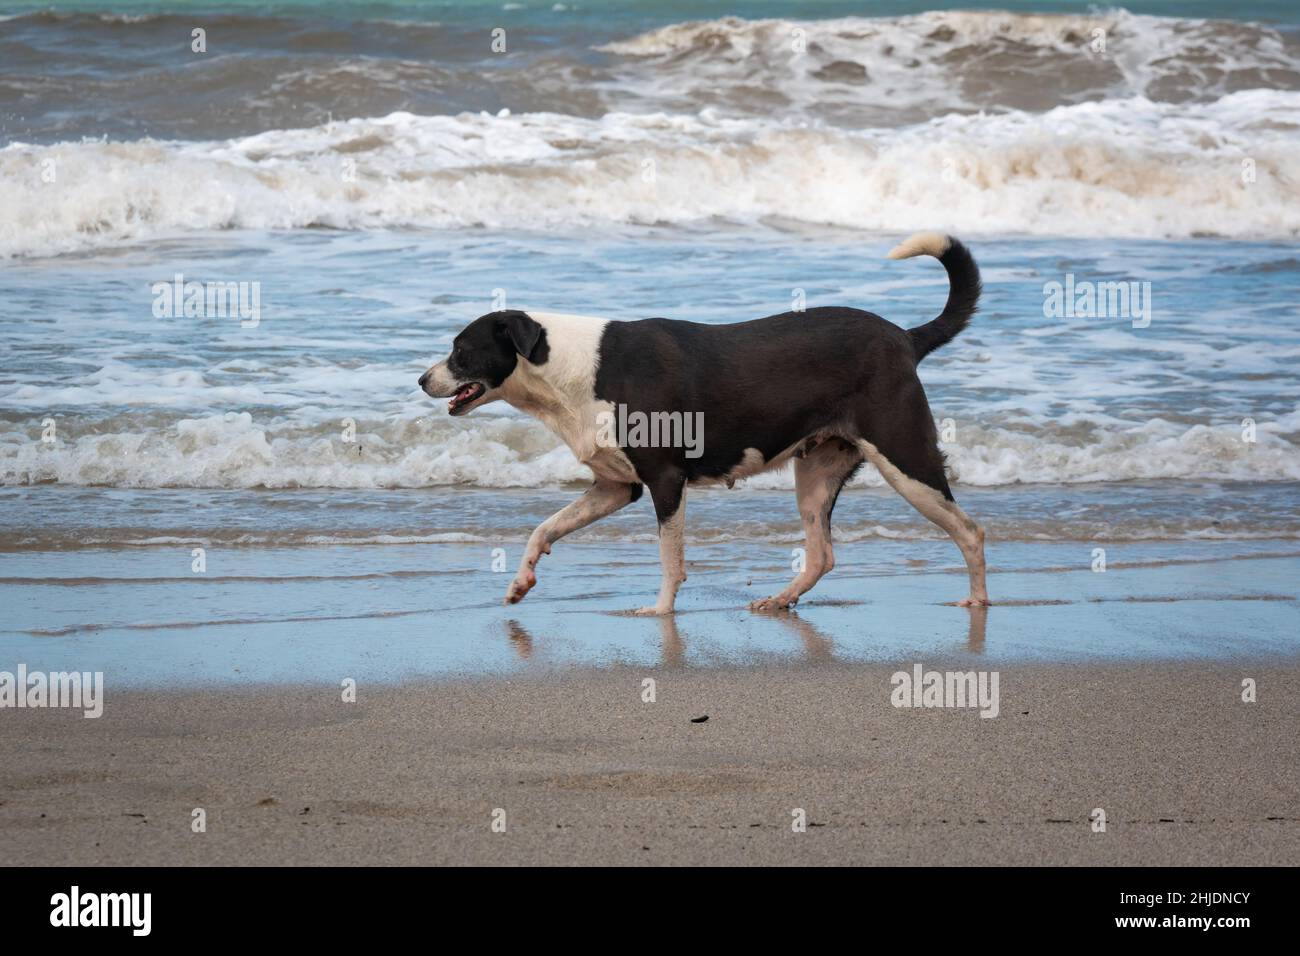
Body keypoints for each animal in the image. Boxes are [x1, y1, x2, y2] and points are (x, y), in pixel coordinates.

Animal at [421, 235, 987, 616]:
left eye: (460, 351)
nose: (422, 379)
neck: (568, 368)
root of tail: (905, 337)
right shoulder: (616, 487)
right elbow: (544, 527)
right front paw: (521, 581)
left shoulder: (665, 479)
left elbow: (670, 558)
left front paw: (660, 612)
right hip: (818, 471)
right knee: (821, 555)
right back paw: (779, 599)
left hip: (904, 457)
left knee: (971, 530)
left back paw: (978, 600)